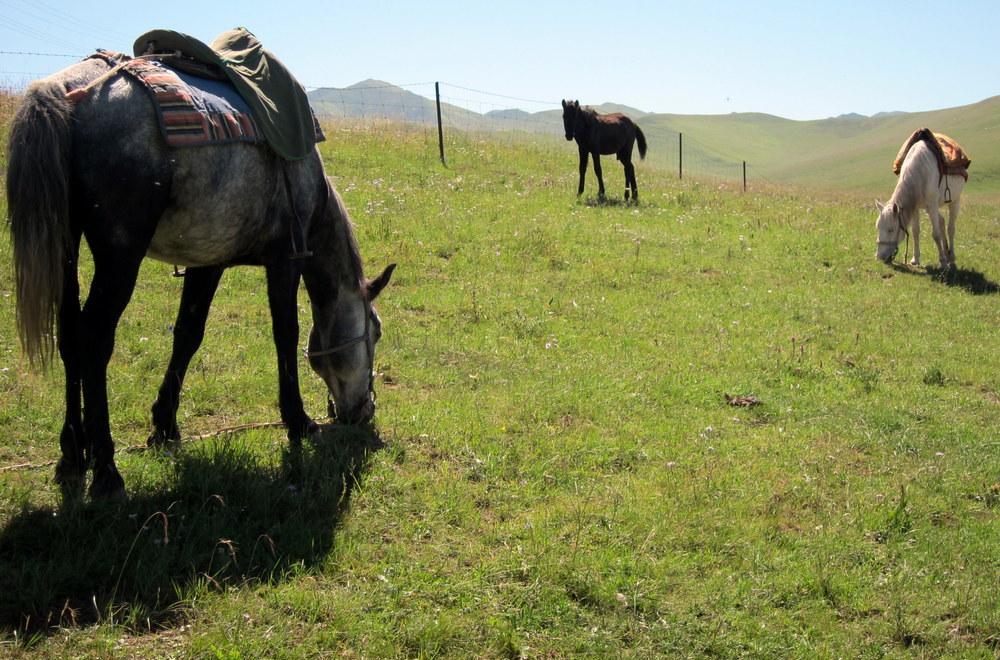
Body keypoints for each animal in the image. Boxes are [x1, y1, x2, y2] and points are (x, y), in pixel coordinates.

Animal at [880, 141, 964, 270]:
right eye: (878, 227)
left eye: (890, 230)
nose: (880, 256)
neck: (920, 171)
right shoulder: (915, 207)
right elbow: (915, 231)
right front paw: (915, 260)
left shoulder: (932, 205)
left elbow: (936, 234)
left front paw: (943, 262)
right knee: (942, 221)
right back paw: (947, 253)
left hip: (954, 200)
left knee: (951, 229)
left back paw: (951, 260)